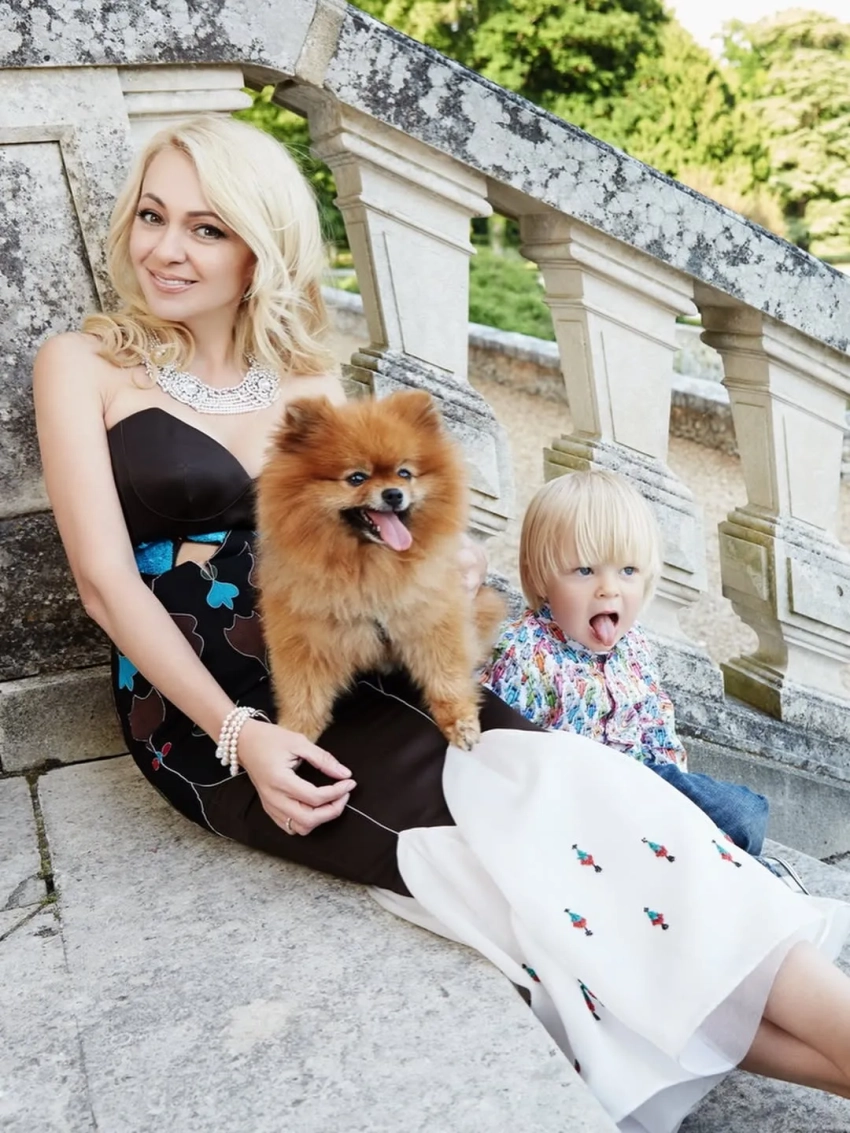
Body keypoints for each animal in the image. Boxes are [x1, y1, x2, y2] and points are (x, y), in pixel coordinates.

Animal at [256, 389, 506, 750]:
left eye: (404, 473)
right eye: (356, 478)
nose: (393, 494)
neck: (371, 568)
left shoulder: (434, 617)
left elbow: (447, 675)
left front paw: (460, 722)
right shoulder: (305, 633)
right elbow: (303, 691)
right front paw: (294, 733)